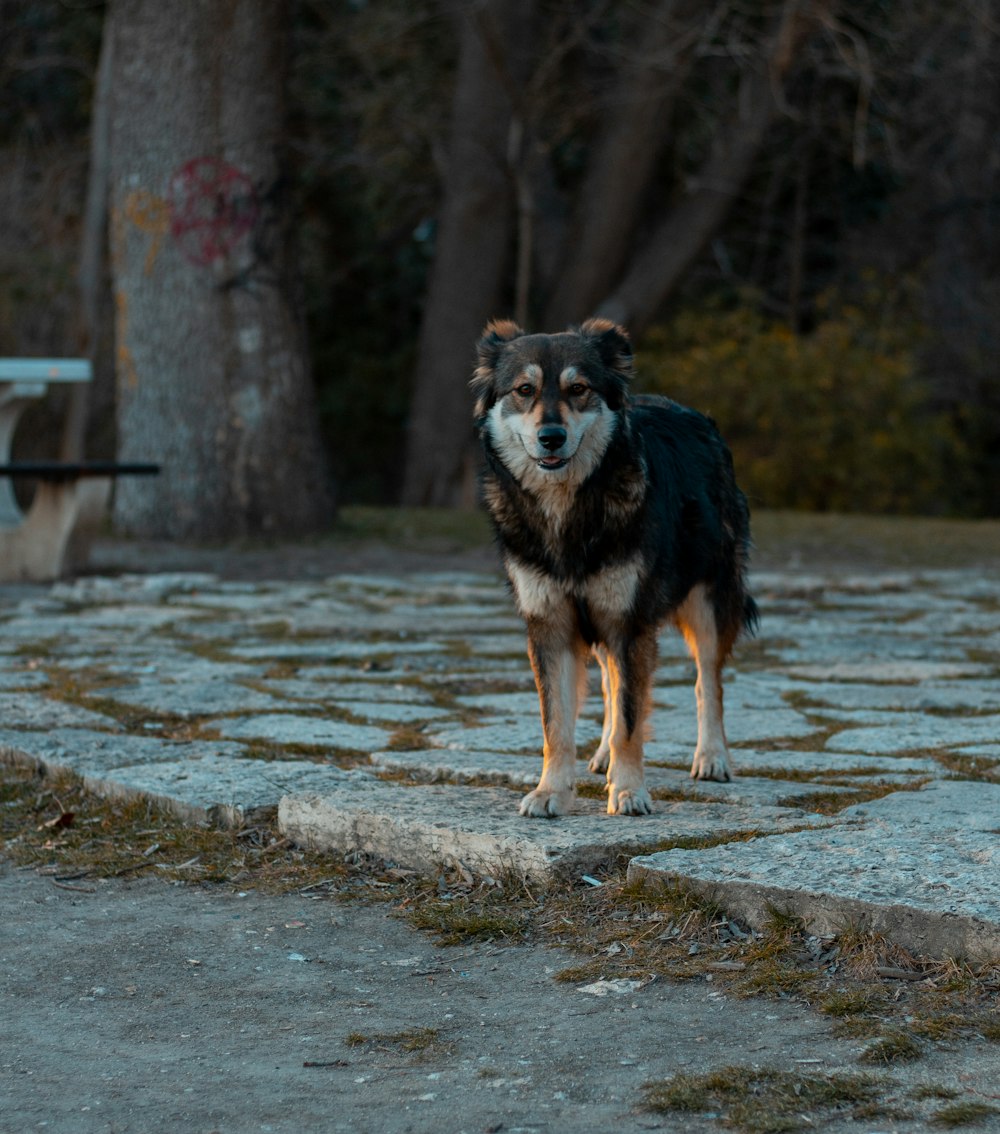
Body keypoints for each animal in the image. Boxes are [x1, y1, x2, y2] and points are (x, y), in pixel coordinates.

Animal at [467, 317, 757, 816]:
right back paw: (602, 755)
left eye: (578, 389)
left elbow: (631, 716)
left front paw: (628, 790)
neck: (567, 512)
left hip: (708, 604)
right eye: (524, 390)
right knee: (610, 683)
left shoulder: (629, 621)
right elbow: (557, 722)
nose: (551, 437)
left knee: (707, 683)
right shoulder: (552, 625)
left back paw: (712, 757)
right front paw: (551, 791)